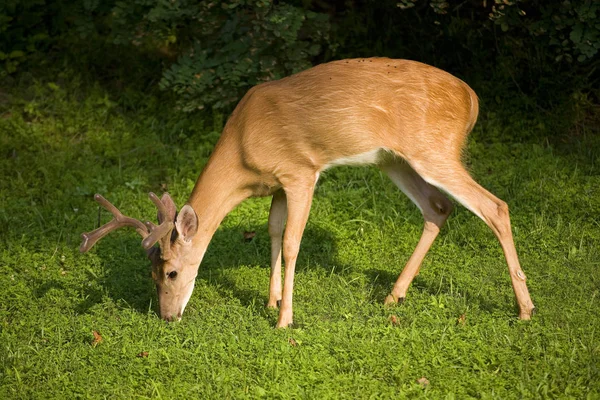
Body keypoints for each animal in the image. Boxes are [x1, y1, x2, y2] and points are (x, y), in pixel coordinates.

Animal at [79, 57, 536, 326]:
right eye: (151, 273)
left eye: (172, 272)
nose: (166, 316)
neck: (243, 151)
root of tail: (472, 99)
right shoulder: (278, 184)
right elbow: (273, 230)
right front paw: (270, 301)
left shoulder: (301, 172)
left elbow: (293, 242)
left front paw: (285, 320)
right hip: (395, 160)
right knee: (438, 208)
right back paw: (393, 296)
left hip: (434, 150)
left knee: (496, 206)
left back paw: (525, 309)